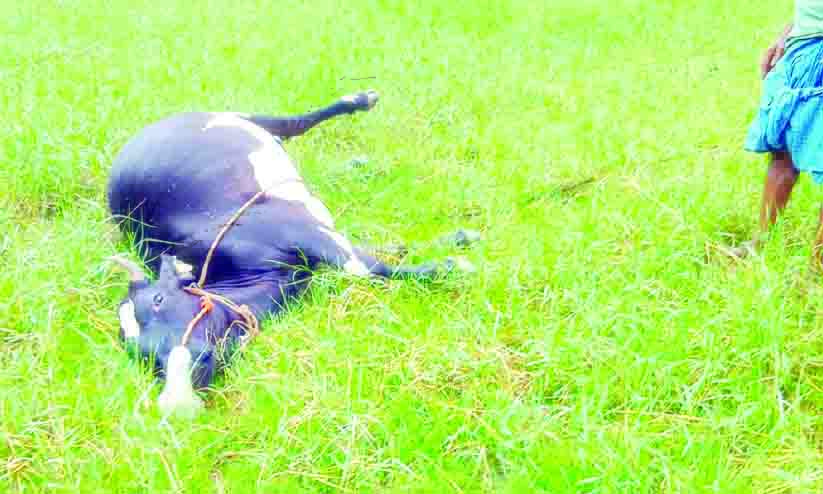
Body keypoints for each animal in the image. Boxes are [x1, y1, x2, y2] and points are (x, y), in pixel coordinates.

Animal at [107, 91, 470, 417]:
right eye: (136, 352)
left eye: (158, 300)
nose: (175, 400)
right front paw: (440, 247)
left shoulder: (300, 227)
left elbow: (362, 267)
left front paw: (449, 264)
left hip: (243, 119)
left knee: (295, 123)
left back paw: (360, 99)